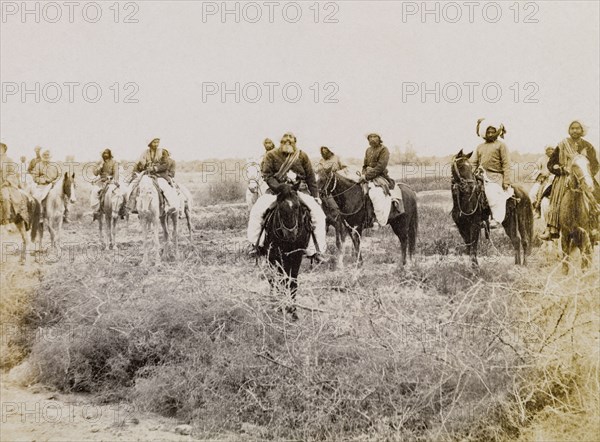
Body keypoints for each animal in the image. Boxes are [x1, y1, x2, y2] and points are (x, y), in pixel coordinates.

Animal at [262, 183, 312, 322]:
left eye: (297, 206)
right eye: (280, 208)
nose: (290, 234)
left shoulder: (297, 256)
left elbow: (293, 282)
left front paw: (293, 311)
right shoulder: (279, 256)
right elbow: (282, 280)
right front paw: (283, 306)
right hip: (271, 258)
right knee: (273, 278)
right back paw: (274, 300)